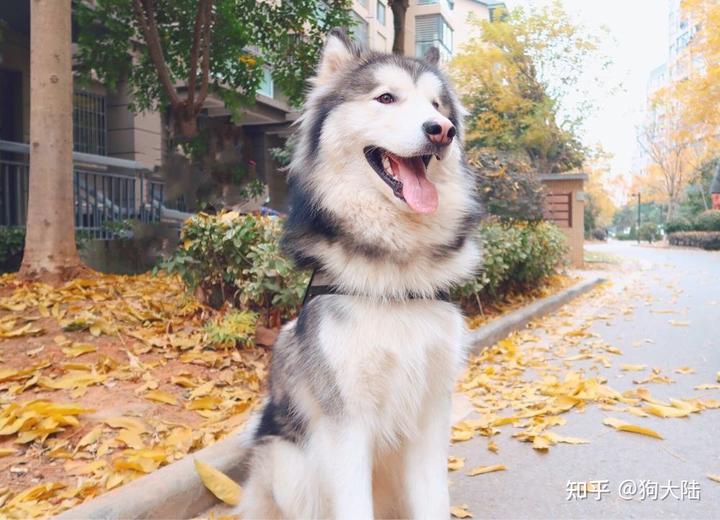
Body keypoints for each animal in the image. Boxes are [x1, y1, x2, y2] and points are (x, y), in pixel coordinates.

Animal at [239, 29, 480, 520]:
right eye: (386, 98)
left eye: (438, 106)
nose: (441, 131)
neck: (396, 270)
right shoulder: (345, 425)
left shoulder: (431, 413)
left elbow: (434, 500)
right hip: (294, 467)